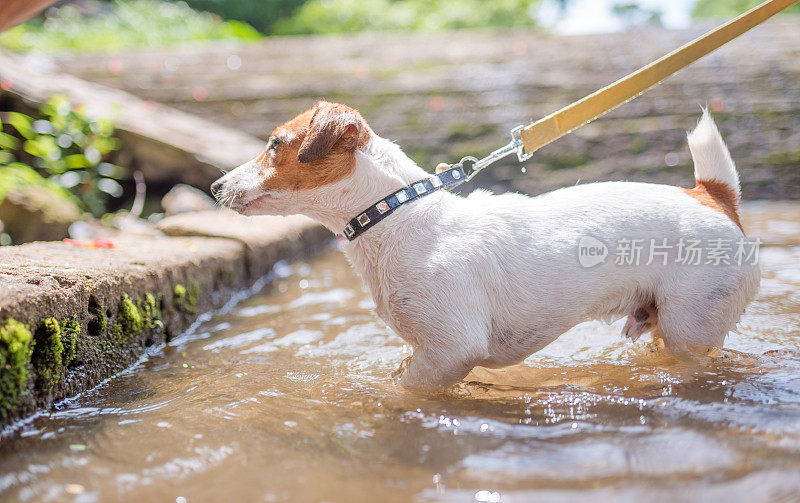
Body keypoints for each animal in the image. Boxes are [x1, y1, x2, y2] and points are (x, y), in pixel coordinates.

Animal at [212, 102, 764, 392]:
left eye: (274, 144)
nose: (215, 187)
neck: (398, 216)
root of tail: (712, 196)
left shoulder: (452, 349)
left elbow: (404, 390)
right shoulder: (430, 351)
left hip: (691, 328)